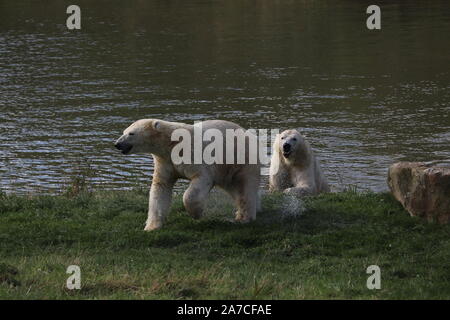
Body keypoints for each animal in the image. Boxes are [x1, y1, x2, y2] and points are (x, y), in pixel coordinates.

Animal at [114, 118, 260, 230]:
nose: (117, 144)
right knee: (233, 188)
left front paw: (197, 213)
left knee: (245, 187)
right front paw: (151, 227)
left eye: (131, 133)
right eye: (124, 131)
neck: (172, 143)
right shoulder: (165, 161)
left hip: (241, 159)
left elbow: (199, 180)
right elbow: (160, 188)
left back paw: (245, 217)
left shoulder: (194, 154)